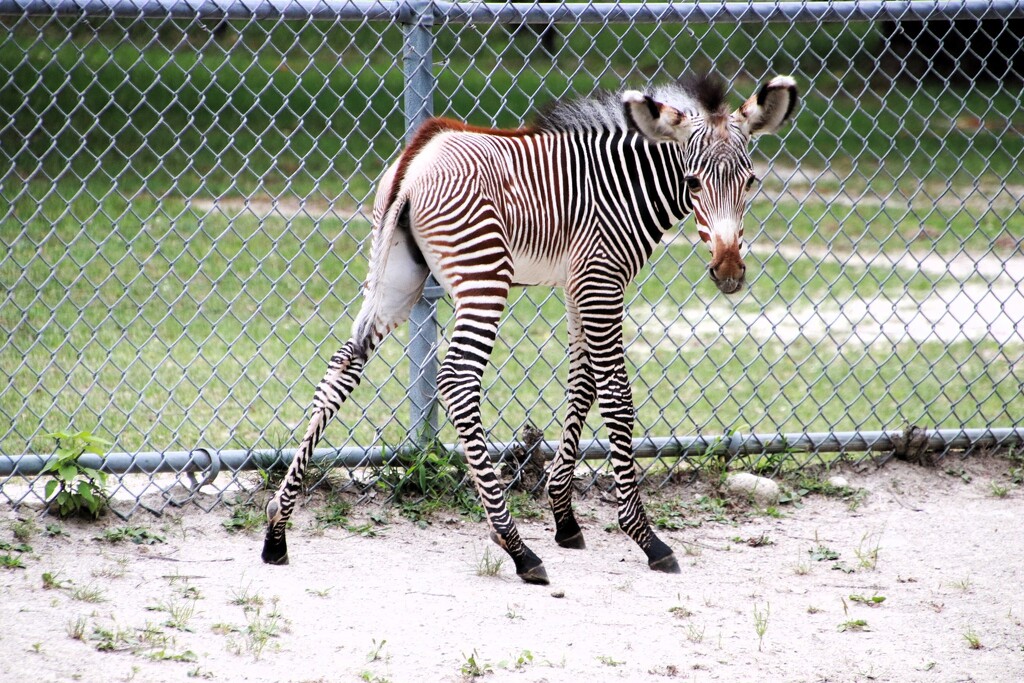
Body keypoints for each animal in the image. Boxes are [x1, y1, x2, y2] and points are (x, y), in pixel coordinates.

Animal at [262, 76, 798, 589]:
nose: (729, 273)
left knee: (342, 367)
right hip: (483, 276)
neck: (625, 185)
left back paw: (277, 531)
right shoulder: (602, 282)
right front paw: (644, 537)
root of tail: (419, 156)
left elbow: (582, 386)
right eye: (692, 182)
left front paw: (564, 518)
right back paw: (517, 548)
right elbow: (616, 398)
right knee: (457, 380)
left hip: (396, 276)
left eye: (751, 181)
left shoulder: (578, 286)